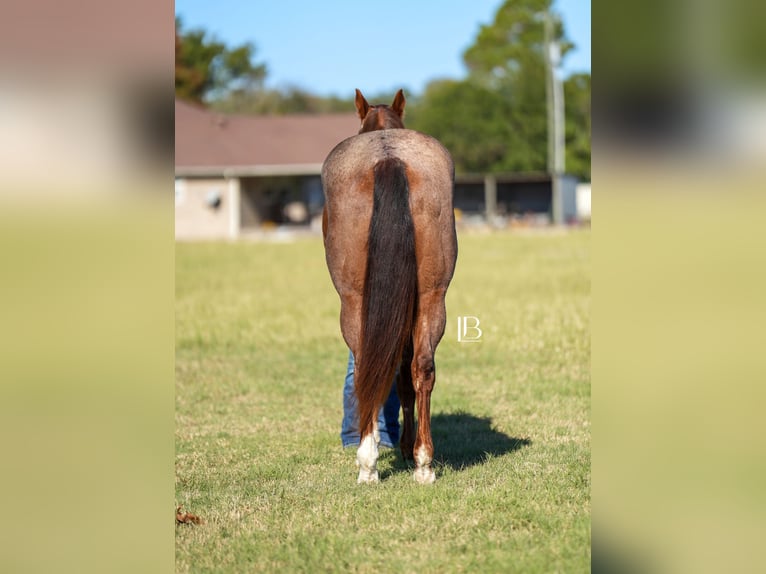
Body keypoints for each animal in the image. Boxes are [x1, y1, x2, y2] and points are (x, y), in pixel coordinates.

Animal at [321, 89, 457, 484]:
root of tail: (389, 157)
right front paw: (410, 449)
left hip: (353, 303)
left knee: (368, 365)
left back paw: (368, 464)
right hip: (432, 297)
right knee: (423, 368)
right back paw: (424, 463)